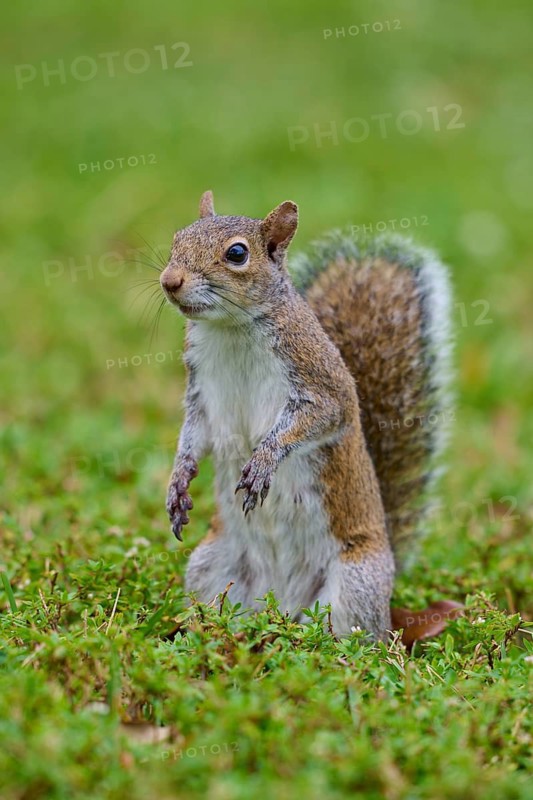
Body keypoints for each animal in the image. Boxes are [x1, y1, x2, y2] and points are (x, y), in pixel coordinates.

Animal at [159, 191, 452, 640]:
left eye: (237, 253)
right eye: (177, 238)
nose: (169, 280)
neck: (231, 329)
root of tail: (283, 605)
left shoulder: (321, 381)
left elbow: (323, 417)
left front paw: (265, 459)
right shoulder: (201, 394)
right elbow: (194, 434)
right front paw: (178, 482)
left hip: (355, 583)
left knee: (358, 639)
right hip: (211, 565)